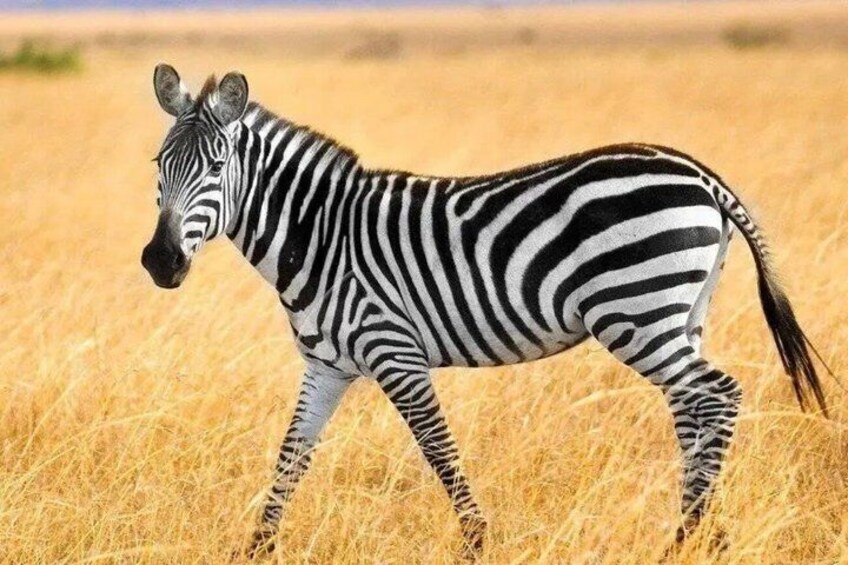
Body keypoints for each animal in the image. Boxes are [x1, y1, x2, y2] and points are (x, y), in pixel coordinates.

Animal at [142, 64, 829, 557]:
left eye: (216, 166)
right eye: (159, 164)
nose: (159, 262)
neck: (320, 235)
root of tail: (700, 174)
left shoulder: (394, 352)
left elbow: (438, 449)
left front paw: (476, 542)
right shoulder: (327, 365)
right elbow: (291, 456)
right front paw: (258, 547)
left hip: (636, 312)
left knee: (717, 395)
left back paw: (688, 536)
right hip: (681, 313)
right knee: (693, 407)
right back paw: (703, 536)